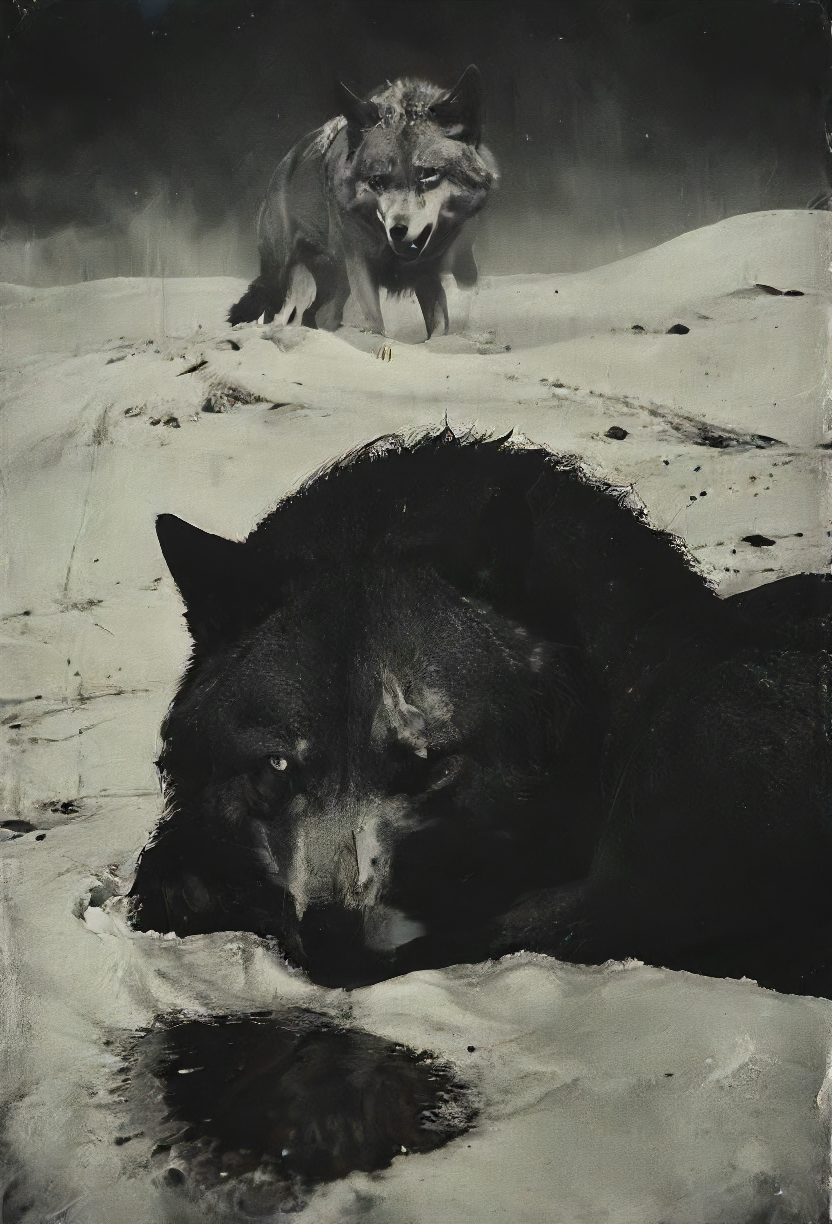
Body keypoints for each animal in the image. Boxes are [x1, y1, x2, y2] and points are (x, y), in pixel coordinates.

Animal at [227, 67, 498, 338]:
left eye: (428, 174)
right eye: (377, 180)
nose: (397, 231)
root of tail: (285, 163)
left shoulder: (429, 274)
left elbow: (440, 327)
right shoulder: (360, 264)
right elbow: (373, 323)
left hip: (334, 284)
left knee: (311, 313)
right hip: (282, 276)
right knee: (272, 309)